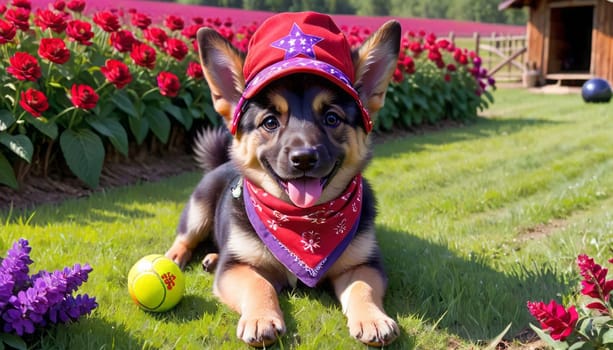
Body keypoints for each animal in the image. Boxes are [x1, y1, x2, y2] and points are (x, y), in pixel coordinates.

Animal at [166, 11, 402, 348]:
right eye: (269, 122)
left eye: (332, 118)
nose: (303, 158)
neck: (304, 225)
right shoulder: (236, 268)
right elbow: (258, 283)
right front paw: (261, 318)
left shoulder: (362, 264)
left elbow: (362, 288)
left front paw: (373, 319)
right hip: (199, 211)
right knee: (186, 237)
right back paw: (176, 256)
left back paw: (211, 256)